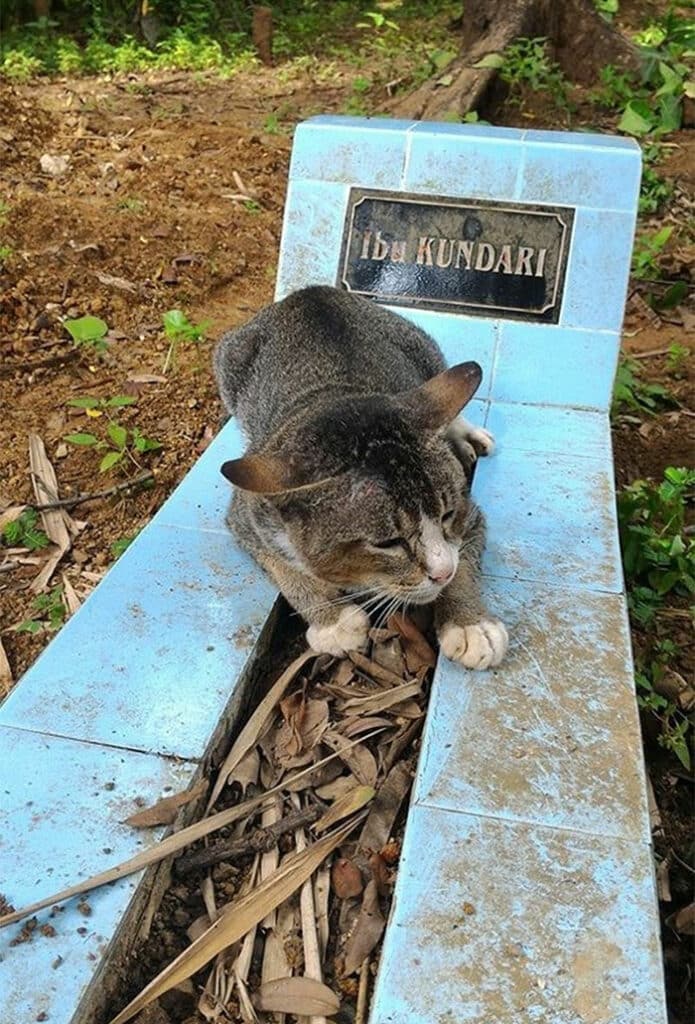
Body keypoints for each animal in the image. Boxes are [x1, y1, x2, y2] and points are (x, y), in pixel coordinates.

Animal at [210, 288, 505, 671]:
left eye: (447, 515)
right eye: (388, 542)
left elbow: (464, 557)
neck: (335, 397)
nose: (442, 573)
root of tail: (308, 293)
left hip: (421, 346)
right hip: (228, 362)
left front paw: (470, 624)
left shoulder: (470, 516)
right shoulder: (248, 514)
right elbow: (282, 566)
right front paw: (332, 621)